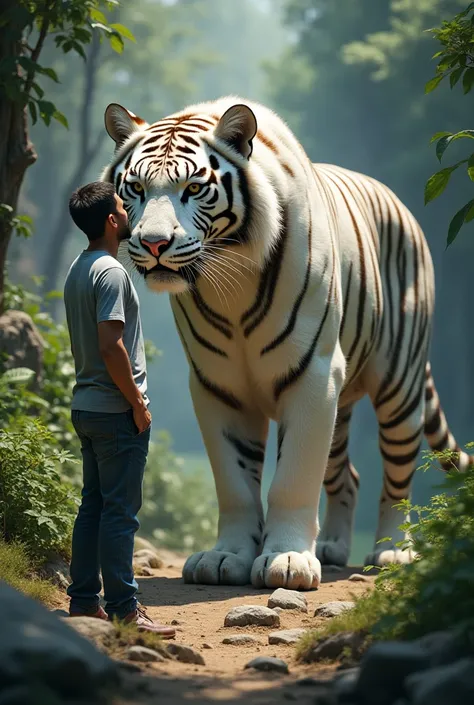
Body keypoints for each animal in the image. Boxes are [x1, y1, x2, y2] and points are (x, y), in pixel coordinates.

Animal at [101, 95, 470, 588]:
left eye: (193, 188)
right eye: (136, 188)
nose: (154, 243)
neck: (229, 281)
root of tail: (398, 202)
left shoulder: (313, 375)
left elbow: (294, 477)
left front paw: (288, 560)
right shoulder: (217, 385)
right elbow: (235, 483)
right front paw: (226, 556)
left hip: (399, 384)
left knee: (398, 474)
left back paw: (392, 551)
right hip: (344, 401)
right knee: (347, 475)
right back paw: (332, 547)